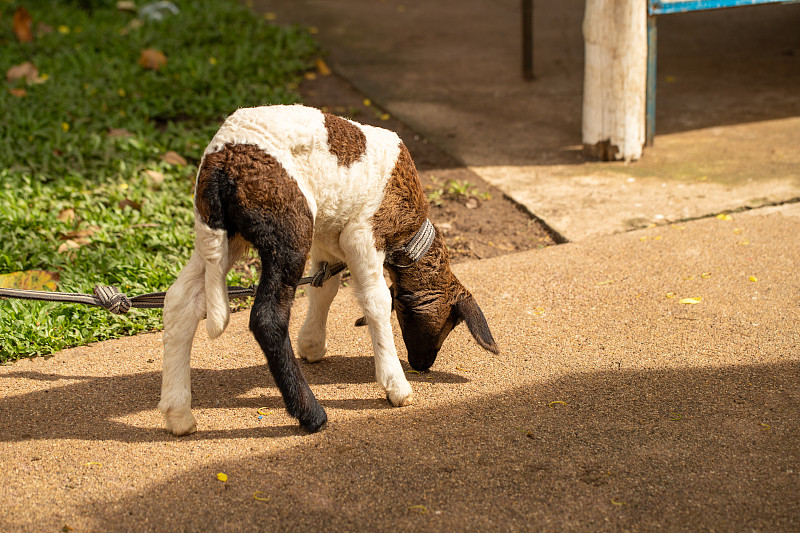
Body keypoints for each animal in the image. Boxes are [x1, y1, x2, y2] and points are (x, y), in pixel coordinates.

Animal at [159, 106, 496, 434]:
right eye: (449, 322)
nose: (422, 364)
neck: (408, 236)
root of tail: (220, 161)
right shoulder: (363, 235)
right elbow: (376, 302)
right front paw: (396, 385)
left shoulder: (327, 241)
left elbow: (324, 289)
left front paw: (311, 344)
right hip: (286, 226)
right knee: (268, 318)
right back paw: (311, 414)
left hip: (222, 233)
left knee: (180, 301)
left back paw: (179, 415)